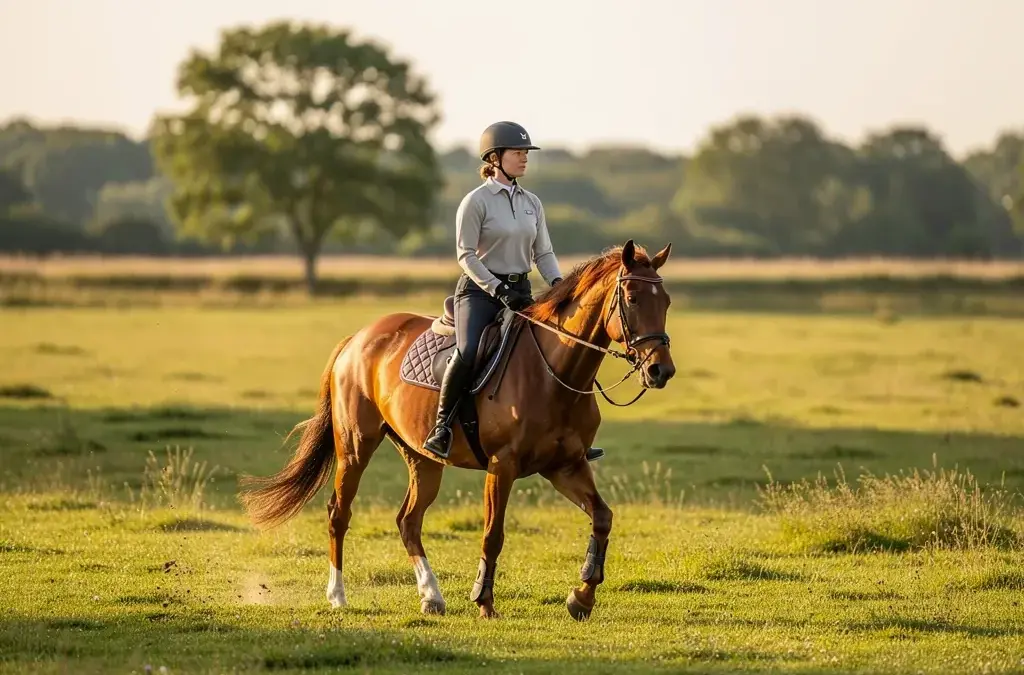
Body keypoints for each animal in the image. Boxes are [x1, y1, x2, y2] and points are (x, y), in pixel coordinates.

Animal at [238, 239, 676, 621]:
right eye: (632, 298)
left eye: (666, 301)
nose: (661, 371)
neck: (553, 373)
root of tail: (357, 339)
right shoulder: (503, 466)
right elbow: (493, 534)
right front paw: (484, 601)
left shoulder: (565, 466)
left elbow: (603, 517)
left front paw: (581, 597)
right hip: (356, 448)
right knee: (338, 514)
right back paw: (338, 596)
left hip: (422, 458)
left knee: (408, 521)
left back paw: (431, 596)